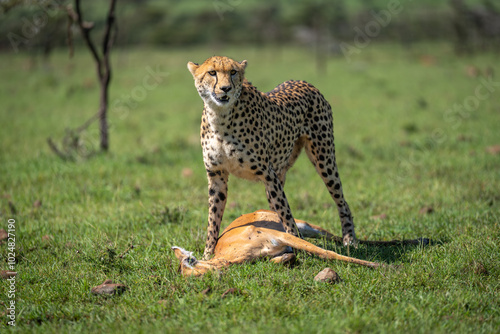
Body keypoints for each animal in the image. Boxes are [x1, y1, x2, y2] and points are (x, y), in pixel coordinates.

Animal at [188, 56, 356, 258]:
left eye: (233, 72)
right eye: (212, 72)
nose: (226, 88)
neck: (220, 117)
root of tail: (304, 82)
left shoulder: (268, 175)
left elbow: (286, 213)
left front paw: (299, 245)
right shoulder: (216, 176)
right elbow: (213, 218)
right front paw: (207, 254)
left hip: (324, 160)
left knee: (342, 201)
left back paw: (350, 240)